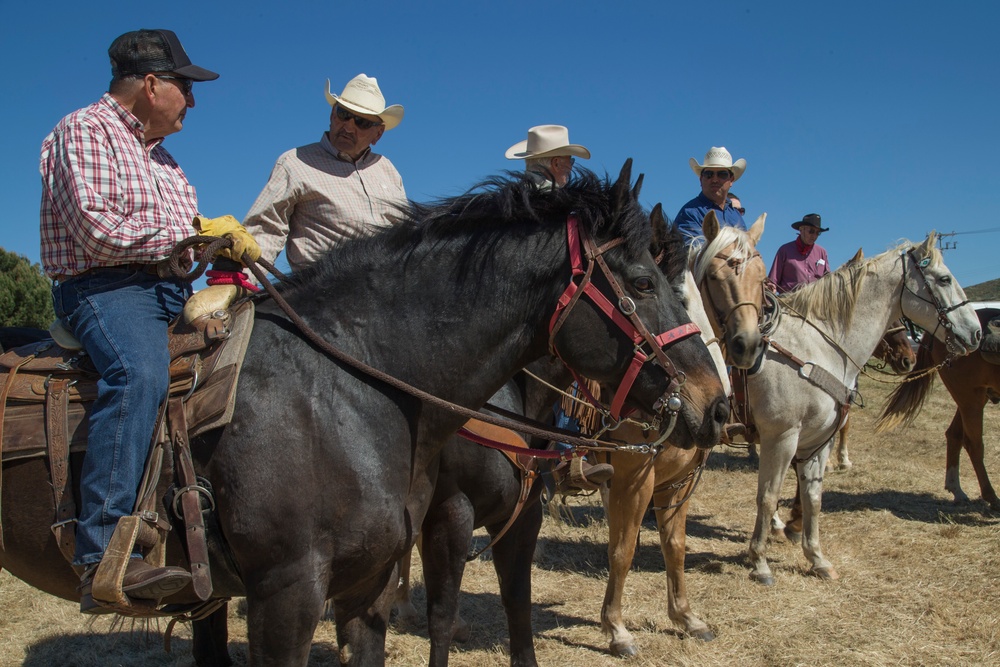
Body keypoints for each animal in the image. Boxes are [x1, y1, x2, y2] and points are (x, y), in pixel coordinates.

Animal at [0, 160, 728, 664]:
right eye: (642, 283)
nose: (713, 403)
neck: (343, 391)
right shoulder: (294, 593)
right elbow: (444, 618)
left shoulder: (377, 582)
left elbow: (515, 616)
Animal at [748, 234, 980, 584]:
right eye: (944, 279)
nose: (976, 332)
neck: (816, 347)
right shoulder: (781, 437)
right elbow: (768, 496)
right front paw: (760, 561)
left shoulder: (817, 440)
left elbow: (813, 497)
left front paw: (816, 557)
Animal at [876, 308, 1000, 512]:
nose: (908, 359)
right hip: (970, 396)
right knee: (973, 443)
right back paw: (991, 497)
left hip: (972, 398)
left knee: (955, 435)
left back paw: (958, 490)